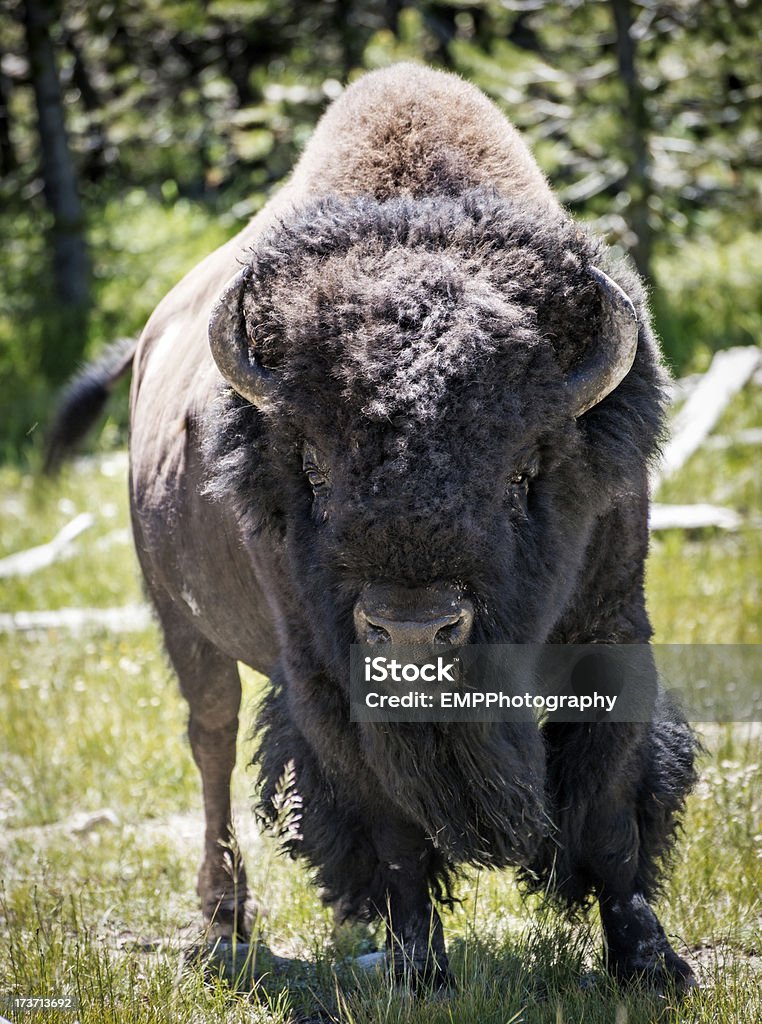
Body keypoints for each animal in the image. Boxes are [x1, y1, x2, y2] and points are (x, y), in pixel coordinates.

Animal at [50, 61, 700, 991]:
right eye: (314, 469)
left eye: (524, 473)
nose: (414, 629)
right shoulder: (326, 679)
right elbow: (390, 830)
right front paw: (419, 968)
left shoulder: (612, 632)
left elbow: (610, 816)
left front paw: (651, 965)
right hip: (186, 628)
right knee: (211, 746)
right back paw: (225, 920)